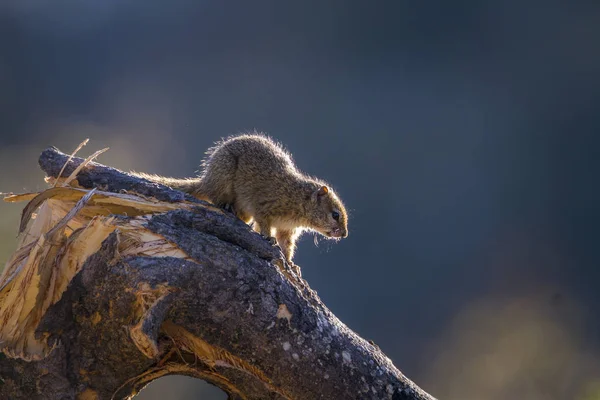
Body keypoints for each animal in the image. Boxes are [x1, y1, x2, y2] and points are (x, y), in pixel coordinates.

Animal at [131, 133, 346, 264]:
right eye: (335, 214)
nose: (344, 235)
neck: (299, 200)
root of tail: (207, 180)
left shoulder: (287, 230)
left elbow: (286, 245)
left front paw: (291, 264)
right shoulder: (265, 207)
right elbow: (264, 226)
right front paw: (269, 238)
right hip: (225, 178)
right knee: (215, 197)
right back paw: (225, 205)